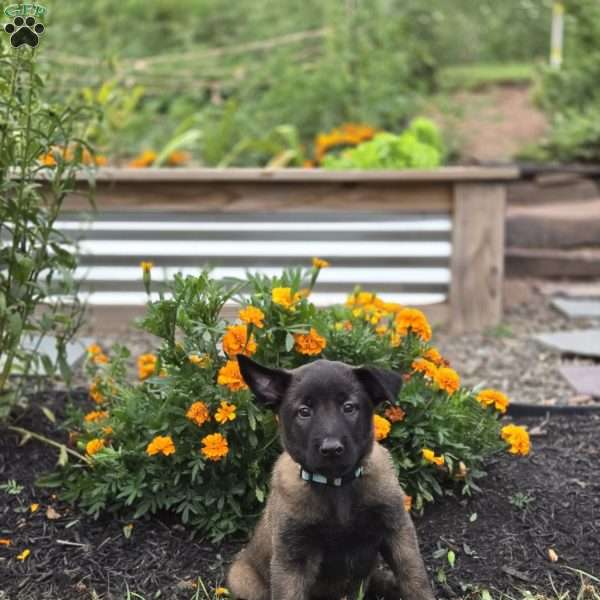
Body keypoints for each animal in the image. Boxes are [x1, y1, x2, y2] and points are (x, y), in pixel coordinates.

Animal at [227, 356, 434, 600]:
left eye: (349, 407)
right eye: (304, 411)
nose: (331, 449)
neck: (337, 485)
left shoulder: (397, 531)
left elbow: (414, 579)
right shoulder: (292, 558)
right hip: (243, 581)